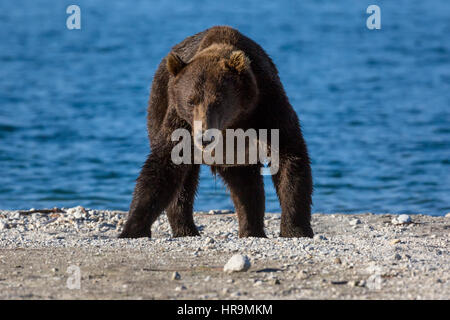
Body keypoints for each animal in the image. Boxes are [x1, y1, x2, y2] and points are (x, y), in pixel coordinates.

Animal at [119, 25, 312, 238]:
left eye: (218, 101)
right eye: (191, 101)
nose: (204, 138)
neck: (233, 122)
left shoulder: (267, 106)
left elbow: (288, 156)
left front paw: (295, 229)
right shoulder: (181, 121)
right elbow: (163, 165)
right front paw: (132, 229)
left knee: (246, 186)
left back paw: (251, 230)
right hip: (159, 103)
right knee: (187, 183)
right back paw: (187, 229)